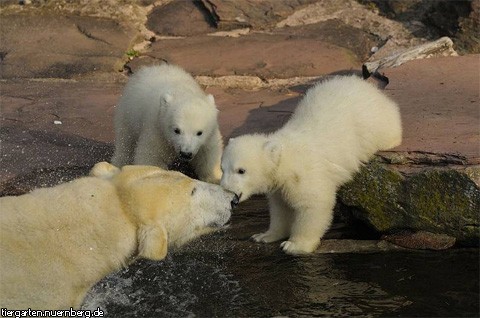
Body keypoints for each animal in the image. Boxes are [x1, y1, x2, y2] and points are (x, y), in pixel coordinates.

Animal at [220, 76, 402, 255]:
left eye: (241, 170)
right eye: (222, 169)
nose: (226, 190)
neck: (285, 157)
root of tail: (367, 86)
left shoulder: (304, 173)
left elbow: (313, 203)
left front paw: (294, 245)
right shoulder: (279, 185)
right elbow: (280, 208)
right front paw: (264, 235)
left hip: (373, 121)